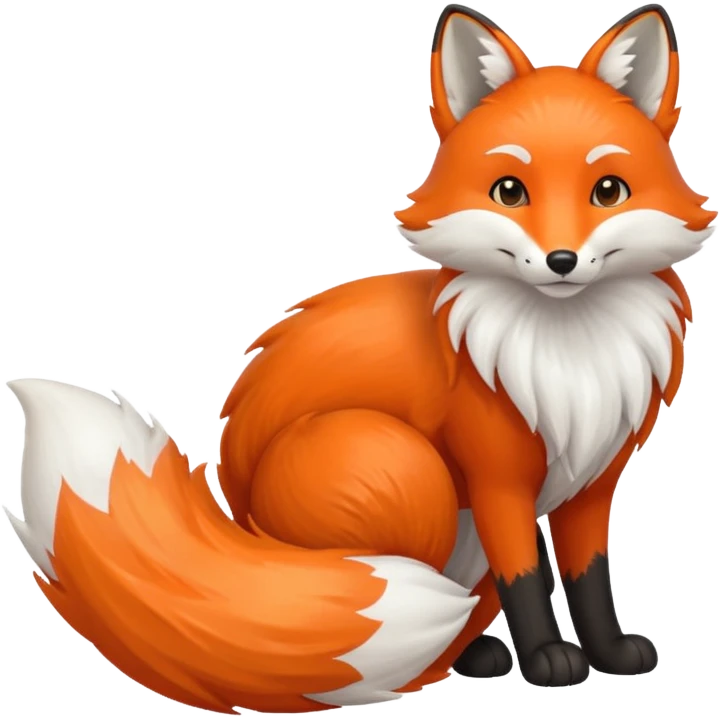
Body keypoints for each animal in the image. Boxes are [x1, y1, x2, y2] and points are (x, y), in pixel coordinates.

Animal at [5, 2, 717, 714]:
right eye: (510, 191)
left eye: (608, 191)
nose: (562, 260)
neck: (568, 355)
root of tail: (249, 530)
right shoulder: (497, 481)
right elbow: (525, 577)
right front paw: (546, 657)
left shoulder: (593, 483)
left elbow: (589, 578)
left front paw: (610, 654)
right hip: (406, 468)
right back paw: (460, 656)